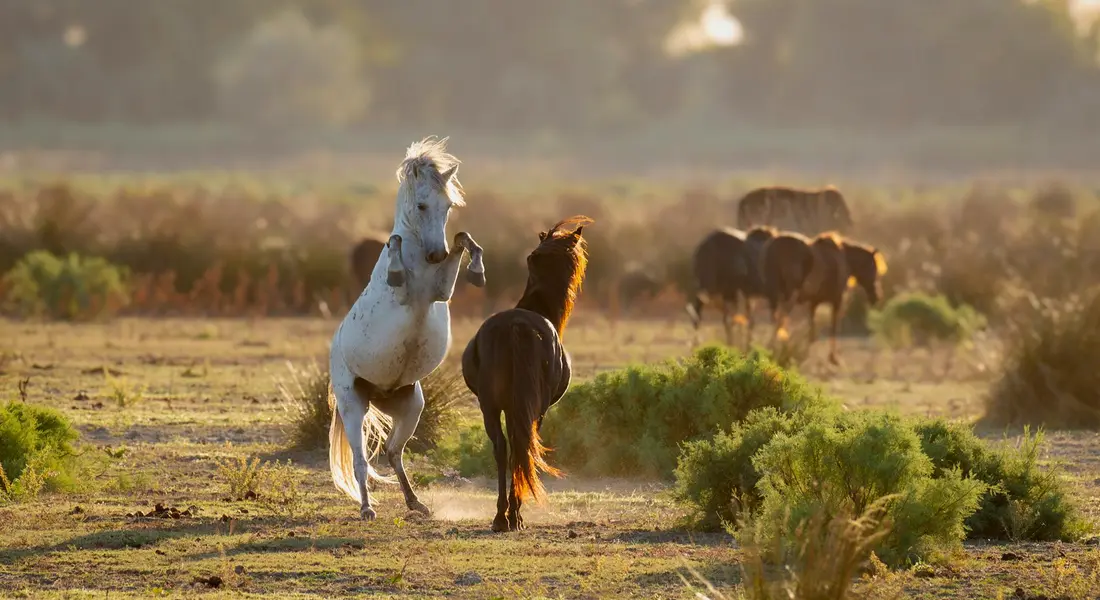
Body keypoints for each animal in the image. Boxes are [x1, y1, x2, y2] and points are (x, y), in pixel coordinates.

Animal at [328, 137, 486, 520]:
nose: (435, 254)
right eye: (421, 204)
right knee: (360, 460)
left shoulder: (442, 292)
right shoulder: (402, 297)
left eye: (448, 206)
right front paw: (396, 263)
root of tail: (379, 392)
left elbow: (463, 239)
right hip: (352, 404)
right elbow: (395, 248)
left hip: (411, 406)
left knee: (391, 450)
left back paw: (416, 503)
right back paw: (367, 509)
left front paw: (477, 270)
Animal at [460, 215, 591, 532]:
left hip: (491, 406)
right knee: (520, 448)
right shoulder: (538, 410)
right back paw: (513, 516)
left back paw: (500, 517)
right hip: (528, 407)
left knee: (502, 448)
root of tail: (516, 326)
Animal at [760, 231, 887, 363]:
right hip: (789, 296)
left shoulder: (813, 302)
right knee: (781, 319)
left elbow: (812, 331)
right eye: (873, 268)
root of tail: (774, 245)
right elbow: (834, 328)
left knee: (777, 319)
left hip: (776, 296)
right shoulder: (837, 301)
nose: (877, 296)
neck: (844, 259)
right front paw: (833, 358)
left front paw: (808, 353)